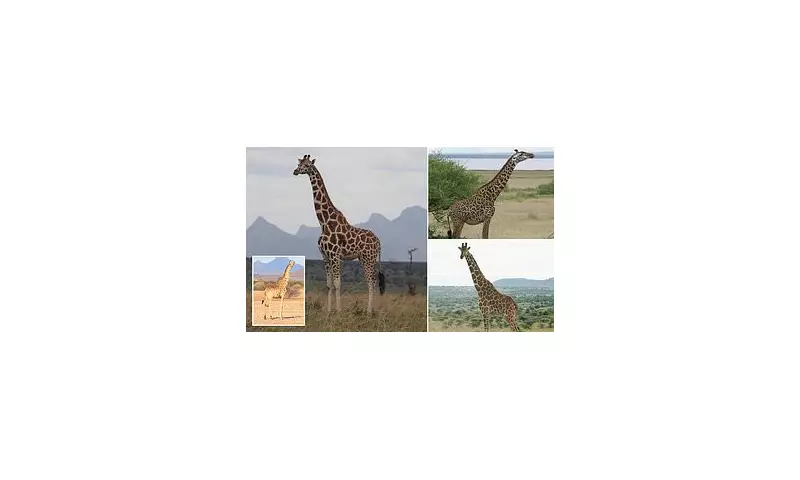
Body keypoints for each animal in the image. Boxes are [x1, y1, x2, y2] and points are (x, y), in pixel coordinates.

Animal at [293, 155, 382, 315]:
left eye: (308, 165)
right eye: (299, 163)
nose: (295, 171)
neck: (324, 223)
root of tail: (378, 241)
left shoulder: (335, 255)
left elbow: (338, 283)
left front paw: (339, 311)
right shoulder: (325, 256)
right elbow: (329, 285)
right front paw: (329, 311)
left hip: (369, 258)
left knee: (372, 282)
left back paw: (369, 312)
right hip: (364, 258)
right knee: (372, 281)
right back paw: (372, 310)